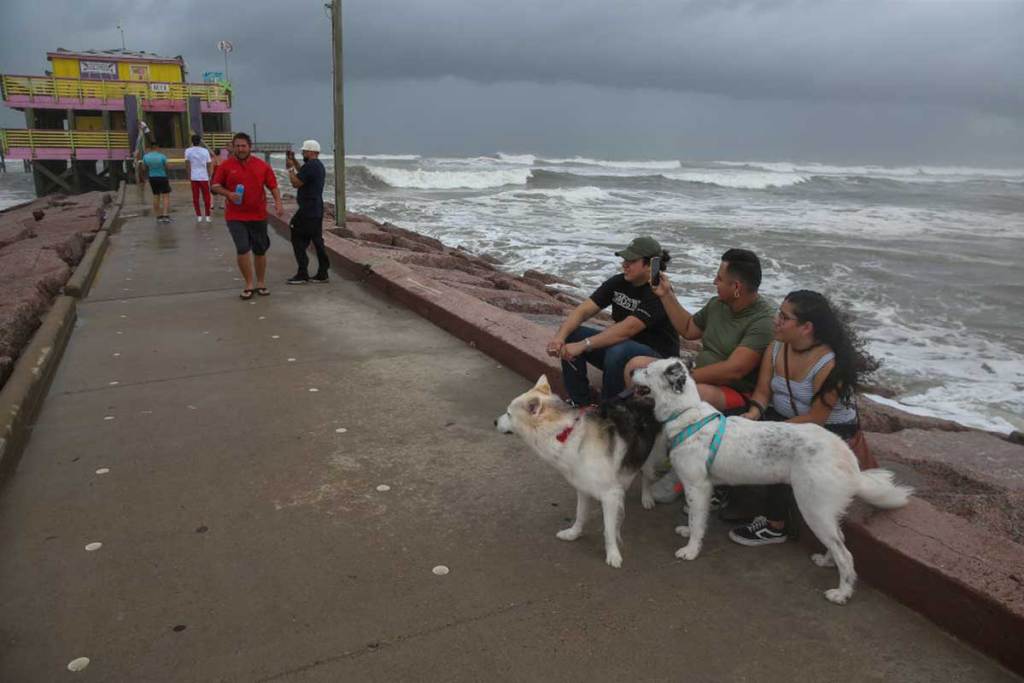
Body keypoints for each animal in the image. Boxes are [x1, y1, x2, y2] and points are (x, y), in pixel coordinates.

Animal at [495, 376, 663, 569]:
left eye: (509, 414)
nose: (494, 422)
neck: (564, 433)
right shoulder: (583, 488)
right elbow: (580, 515)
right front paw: (574, 533)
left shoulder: (609, 495)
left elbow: (608, 530)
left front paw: (613, 554)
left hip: (652, 457)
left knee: (647, 477)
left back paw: (647, 498)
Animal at [630, 358, 913, 602]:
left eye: (647, 369)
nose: (631, 369)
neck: (686, 412)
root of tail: (848, 457)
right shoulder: (702, 488)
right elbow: (696, 517)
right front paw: (689, 533)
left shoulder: (697, 486)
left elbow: (696, 520)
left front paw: (690, 549)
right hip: (824, 511)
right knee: (840, 541)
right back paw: (825, 561)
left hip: (813, 508)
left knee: (846, 555)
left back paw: (841, 593)